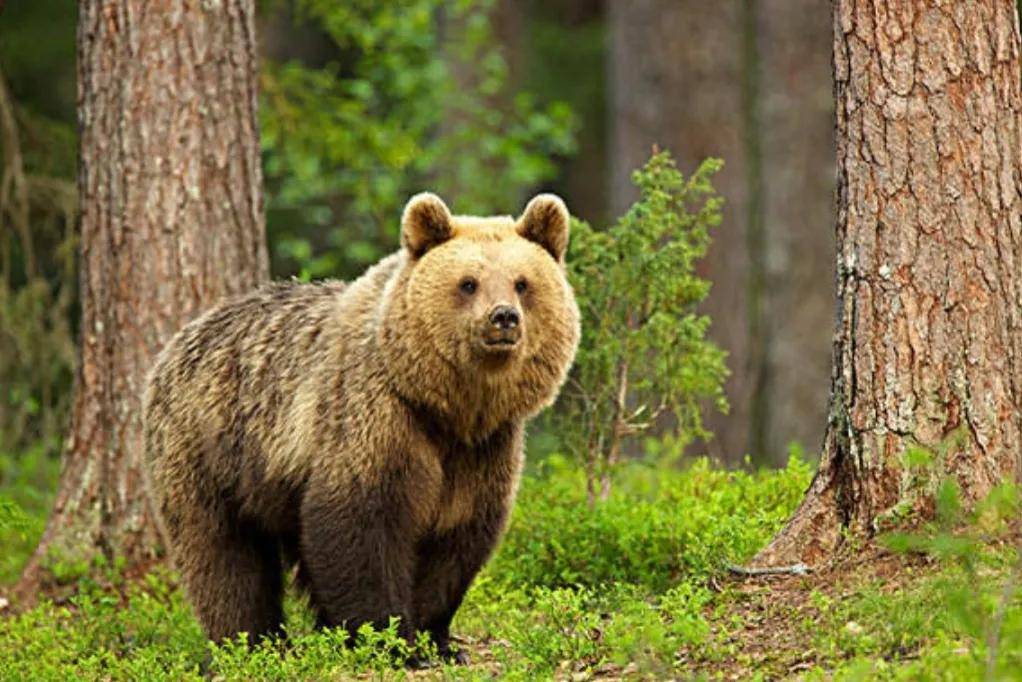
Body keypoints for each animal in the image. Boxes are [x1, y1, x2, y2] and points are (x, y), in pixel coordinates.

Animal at [142, 192, 580, 660]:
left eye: (522, 283)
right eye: (468, 283)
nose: (503, 318)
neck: (448, 407)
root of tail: (180, 339)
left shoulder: (483, 450)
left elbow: (455, 537)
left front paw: (437, 640)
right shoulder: (374, 420)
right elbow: (360, 524)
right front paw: (391, 640)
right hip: (208, 451)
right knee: (223, 555)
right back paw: (252, 641)